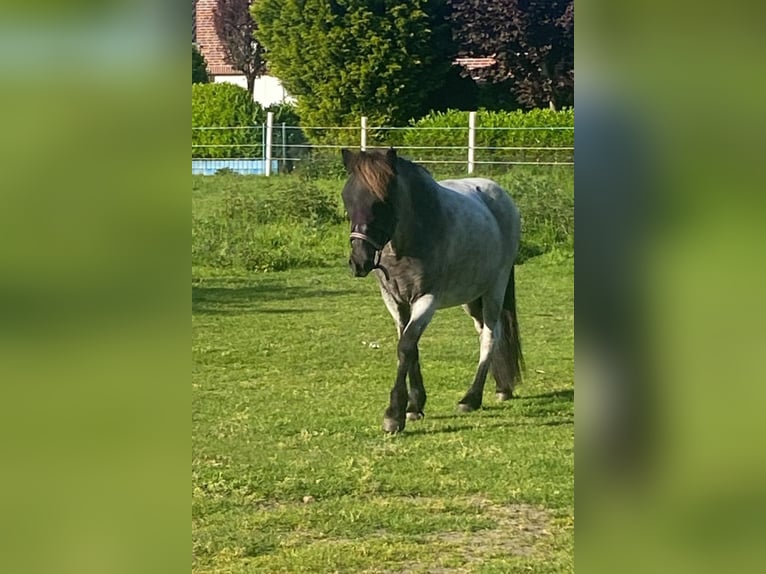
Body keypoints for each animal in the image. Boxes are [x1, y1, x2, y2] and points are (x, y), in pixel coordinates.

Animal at [340, 148, 524, 433]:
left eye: (381, 202)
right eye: (347, 199)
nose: (359, 262)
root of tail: (501, 197)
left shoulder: (427, 299)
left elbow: (406, 346)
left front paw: (394, 415)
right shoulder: (395, 301)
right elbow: (409, 346)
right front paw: (414, 405)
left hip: (495, 287)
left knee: (491, 335)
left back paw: (471, 398)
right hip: (473, 295)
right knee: (485, 330)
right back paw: (501, 388)